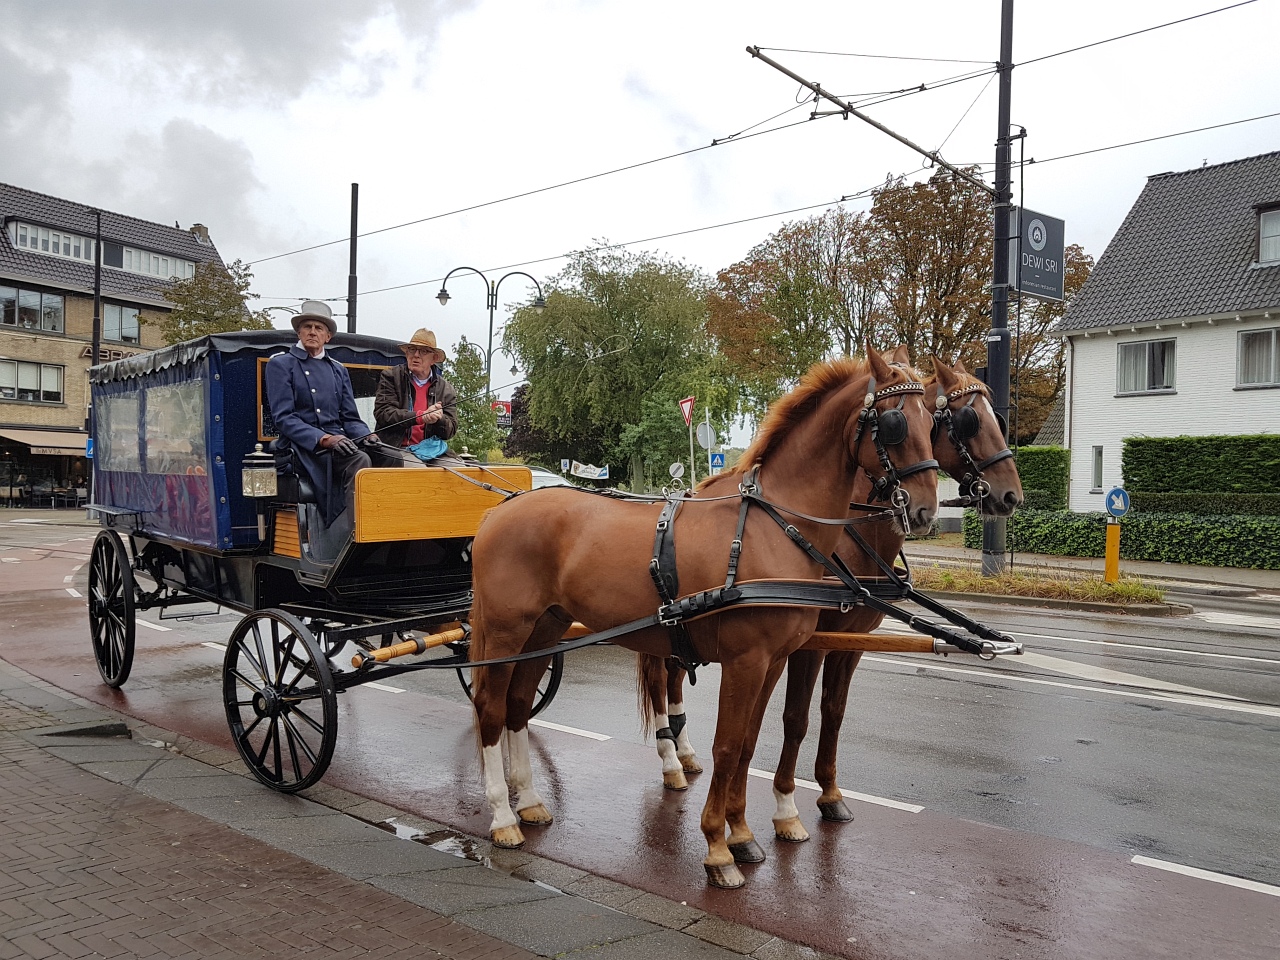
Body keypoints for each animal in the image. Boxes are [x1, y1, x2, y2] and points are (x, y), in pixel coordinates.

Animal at [471, 350, 942, 890]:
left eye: (933, 420)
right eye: (894, 424)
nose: (926, 510)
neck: (773, 529)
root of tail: (500, 508)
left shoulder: (773, 661)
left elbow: (749, 744)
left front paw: (742, 834)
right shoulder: (745, 660)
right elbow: (727, 745)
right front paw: (718, 848)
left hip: (545, 629)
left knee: (518, 703)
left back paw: (528, 802)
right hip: (507, 630)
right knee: (490, 707)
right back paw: (503, 817)